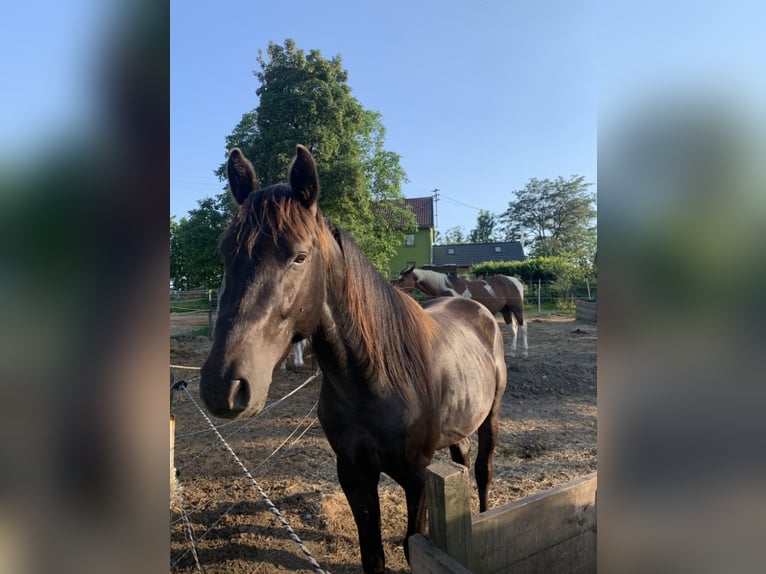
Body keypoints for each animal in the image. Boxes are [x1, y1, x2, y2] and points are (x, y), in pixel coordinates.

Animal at [201, 146, 508, 572]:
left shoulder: (416, 477)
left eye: (299, 257)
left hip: (491, 415)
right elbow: (372, 557)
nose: (223, 386)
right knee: (462, 457)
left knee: (482, 470)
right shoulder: (354, 474)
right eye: (225, 253)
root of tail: (476, 307)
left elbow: (413, 547)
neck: (375, 378)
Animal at [396, 266, 528, 358]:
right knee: (513, 329)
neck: (447, 288)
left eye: (402, 279)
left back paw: (524, 353)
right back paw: (512, 352)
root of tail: (514, 281)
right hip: (506, 310)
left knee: (523, 327)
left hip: (517, 309)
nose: (395, 290)